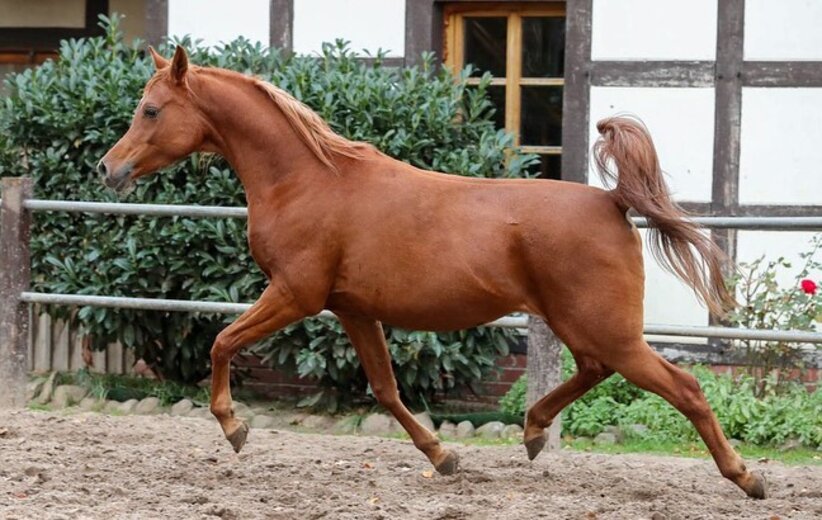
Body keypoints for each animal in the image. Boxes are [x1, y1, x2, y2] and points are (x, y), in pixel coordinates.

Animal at [98, 46, 766, 499]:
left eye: (151, 109)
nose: (109, 168)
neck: (308, 180)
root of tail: (613, 202)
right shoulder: (352, 309)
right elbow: (386, 389)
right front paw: (443, 457)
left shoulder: (295, 294)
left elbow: (221, 341)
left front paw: (234, 428)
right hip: (585, 326)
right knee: (594, 372)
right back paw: (532, 432)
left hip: (606, 328)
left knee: (684, 388)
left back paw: (746, 478)